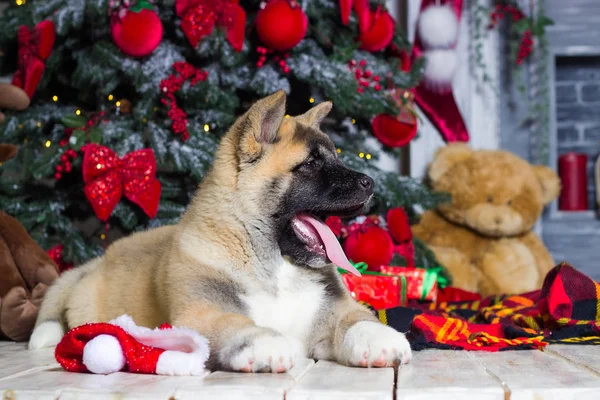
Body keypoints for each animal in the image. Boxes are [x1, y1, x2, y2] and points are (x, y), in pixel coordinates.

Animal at [29, 90, 412, 372]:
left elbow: (355, 318)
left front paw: (380, 337)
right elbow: (234, 324)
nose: (370, 183)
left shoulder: (331, 308)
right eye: (310, 164)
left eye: (333, 157)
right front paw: (264, 343)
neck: (272, 265)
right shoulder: (200, 314)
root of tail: (96, 263)